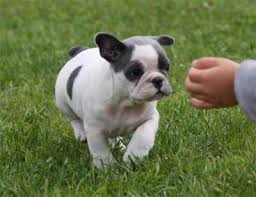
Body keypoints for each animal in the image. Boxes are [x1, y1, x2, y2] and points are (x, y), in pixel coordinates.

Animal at [55, 33, 175, 169]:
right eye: (135, 72)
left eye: (167, 67)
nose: (158, 79)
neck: (125, 102)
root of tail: (81, 50)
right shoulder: (95, 129)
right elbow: (100, 150)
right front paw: (107, 168)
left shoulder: (150, 118)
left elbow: (143, 136)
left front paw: (133, 157)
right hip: (63, 101)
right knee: (73, 118)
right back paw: (81, 133)